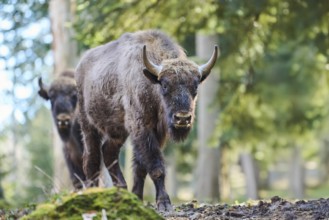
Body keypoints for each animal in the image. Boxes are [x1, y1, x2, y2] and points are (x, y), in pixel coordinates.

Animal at [75, 29, 217, 210]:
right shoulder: (142, 128)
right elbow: (155, 165)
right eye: (165, 85)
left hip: (118, 131)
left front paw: (136, 197)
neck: (152, 83)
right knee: (91, 158)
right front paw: (164, 202)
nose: (182, 118)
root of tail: (80, 66)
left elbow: (140, 167)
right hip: (89, 126)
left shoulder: (157, 133)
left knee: (108, 151)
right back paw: (91, 193)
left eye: (195, 86)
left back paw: (122, 189)